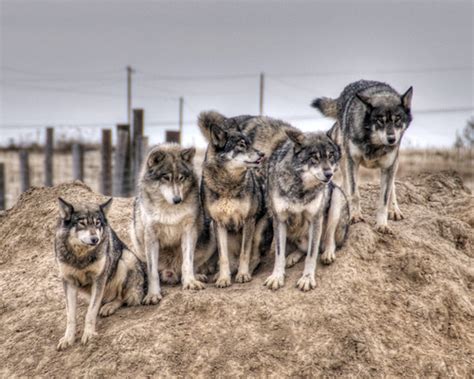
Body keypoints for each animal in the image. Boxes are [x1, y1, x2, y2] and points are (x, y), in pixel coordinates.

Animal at [55, 199, 144, 350]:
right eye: (82, 223)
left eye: (97, 223)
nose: (95, 239)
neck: (81, 256)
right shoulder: (68, 281)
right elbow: (70, 316)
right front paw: (68, 339)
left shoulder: (99, 279)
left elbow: (90, 313)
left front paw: (89, 334)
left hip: (125, 259)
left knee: (121, 298)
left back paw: (109, 307)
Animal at [131, 142, 217, 302]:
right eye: (166, 178)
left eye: (181, 178)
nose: (178, 200)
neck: (169, 209)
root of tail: (172, 272)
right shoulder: (151, 235)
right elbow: (152, 272)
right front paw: (153, 295)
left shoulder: (189, 231)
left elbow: (188, 262)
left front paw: (190, 282)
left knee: (193, 265)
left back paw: (197, 276)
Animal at [198, 112, 272, 288]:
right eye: (241, 145)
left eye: (251, 144)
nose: (262, 154)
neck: (228, 186)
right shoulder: (218, 223)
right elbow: (223, 257)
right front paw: (223, 279)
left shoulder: (249, 220)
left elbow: (245, 253)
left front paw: (243, 275)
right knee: (231, 259)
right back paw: (220, 274)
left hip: (259, 231)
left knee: (255, 257)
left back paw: (246, 271)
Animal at [264, 129, 350, 292]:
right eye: (314, 158)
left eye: (331, 156)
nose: (329, 174)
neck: (300, 188)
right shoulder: (279, 220)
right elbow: (279, 254)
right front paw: (277, 277)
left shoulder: (315, 219)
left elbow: (311, 254)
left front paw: (307, 279)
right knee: (301, 249)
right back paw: (291, 257)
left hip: (336, 196)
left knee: (329, 239)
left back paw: (328, 253)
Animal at [312, 80, 412, 233]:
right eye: (380, 121)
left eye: (398, 120)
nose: (392, 139)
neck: (374, 143)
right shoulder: (352, 162)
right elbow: (354, 193)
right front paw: (355, 216)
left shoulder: (388, 166)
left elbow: (384, 199)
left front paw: (382, 225)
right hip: (341, 162)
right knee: (345, 185)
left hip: (393, 164)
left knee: (392, 187)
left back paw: (394, 210)